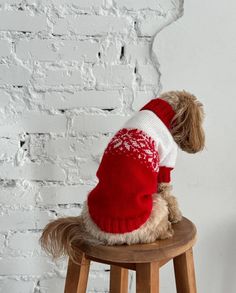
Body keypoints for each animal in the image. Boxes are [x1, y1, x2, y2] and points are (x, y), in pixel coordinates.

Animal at [40, 90, 205, 258]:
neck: (164, 109)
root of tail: (102, 237)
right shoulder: (165, 163)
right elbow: (169, 195)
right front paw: (176, 216)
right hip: (156, 205)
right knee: (153, 231)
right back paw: (167, 230)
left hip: (87, 205)